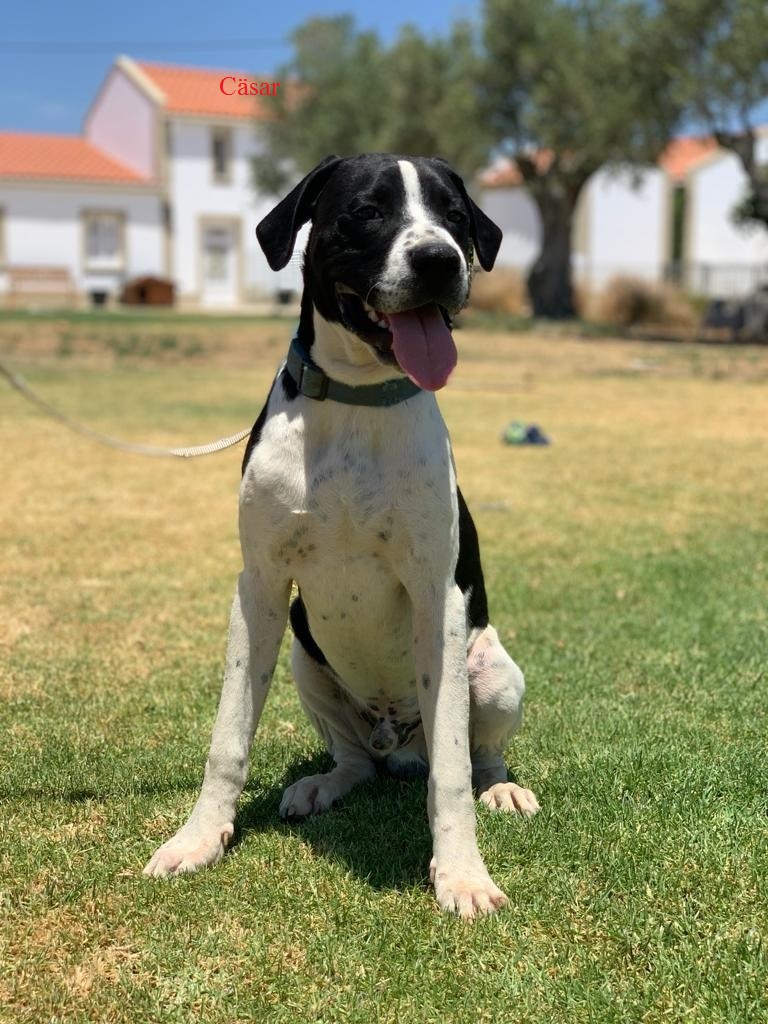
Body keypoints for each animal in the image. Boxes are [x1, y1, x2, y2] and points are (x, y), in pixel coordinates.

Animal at [143, 153, 539, 917]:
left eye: (454, 214)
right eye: (366, 211)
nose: (439, 260)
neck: (360, 396)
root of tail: (398, 741)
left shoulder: (436, 597)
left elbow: (451, 770)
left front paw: (462, 874)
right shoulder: (261, 588)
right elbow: (227, 737)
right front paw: (199, 839)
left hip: (495, 670)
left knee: (473, 754)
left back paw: (499, 786)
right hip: (307, 658)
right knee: (356, 760)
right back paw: (323, 784)